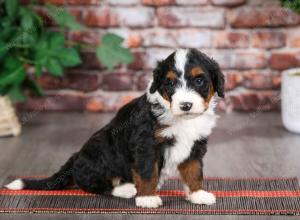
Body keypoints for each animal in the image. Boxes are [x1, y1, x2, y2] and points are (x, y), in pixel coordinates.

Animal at [5, 48, 224, 208]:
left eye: (199, 80)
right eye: (169, 83)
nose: (186, 105)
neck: (182, 119)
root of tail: (76, 157)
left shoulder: (195, 146)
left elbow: (194, 171)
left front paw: (198, 194)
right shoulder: (145, 144)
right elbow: (147, 171)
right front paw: (147, 197)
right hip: (100, 155)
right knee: (95, 186)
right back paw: (126, 189)